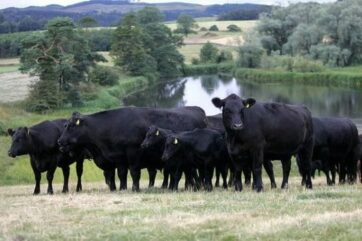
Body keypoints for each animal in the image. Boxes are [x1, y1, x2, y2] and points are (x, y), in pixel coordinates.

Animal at [58, 107, 208, 192]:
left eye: (71, 126)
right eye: (65, 125)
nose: (59, 141)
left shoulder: (133, 153)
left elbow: (134, 172)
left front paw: (135, 188)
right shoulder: (117, 157)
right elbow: (120, 174)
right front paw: (122, 188)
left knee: (190, 173)